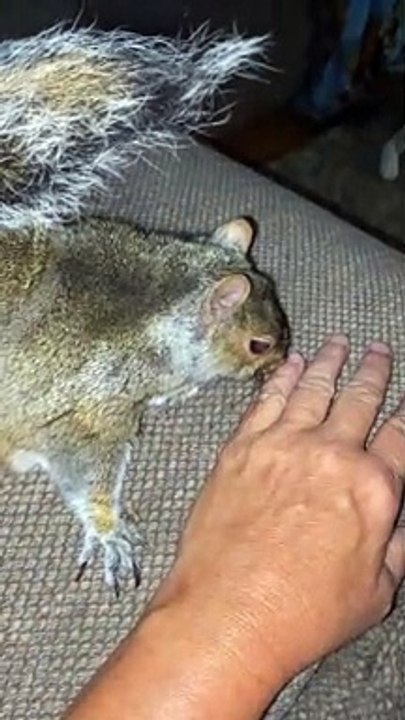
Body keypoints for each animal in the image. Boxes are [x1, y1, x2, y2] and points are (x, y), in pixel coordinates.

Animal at [0, 26, 290, 594]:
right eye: (258, 344)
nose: (283, 361)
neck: (163, 304)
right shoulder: (91, 406)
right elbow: (83, 466)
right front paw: (108, 530)